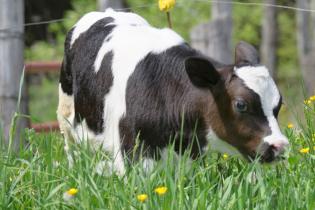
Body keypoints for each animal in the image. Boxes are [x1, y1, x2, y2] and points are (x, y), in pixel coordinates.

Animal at [56, 9, 288, 175]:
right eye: (241, 104)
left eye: (278, 104)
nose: (279, 145)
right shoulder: (131, 153)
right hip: (66, 112)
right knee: (70, 148)